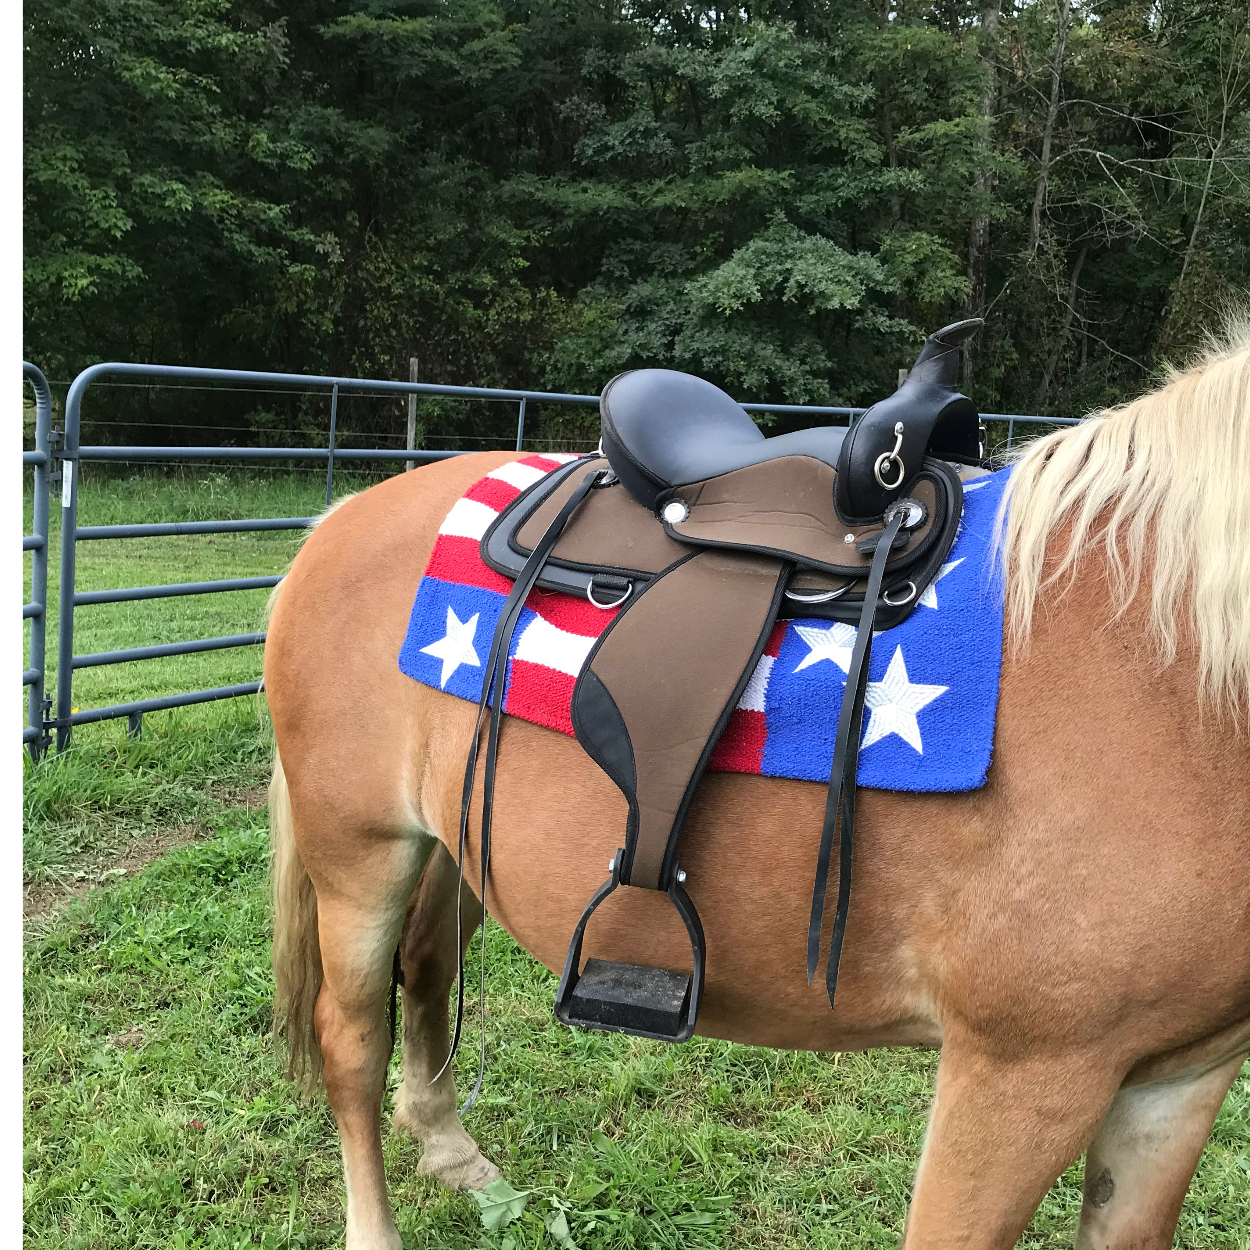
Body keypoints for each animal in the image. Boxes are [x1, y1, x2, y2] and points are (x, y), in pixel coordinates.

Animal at [266, 327, 1250, 1245]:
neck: (1171, 664)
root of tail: (345, 514)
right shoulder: (1022, 1074)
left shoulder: (1177, 1079)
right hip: (359, 853)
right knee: (353, 1041)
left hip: (456, 841)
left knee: (429, 967)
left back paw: (454, 1155)